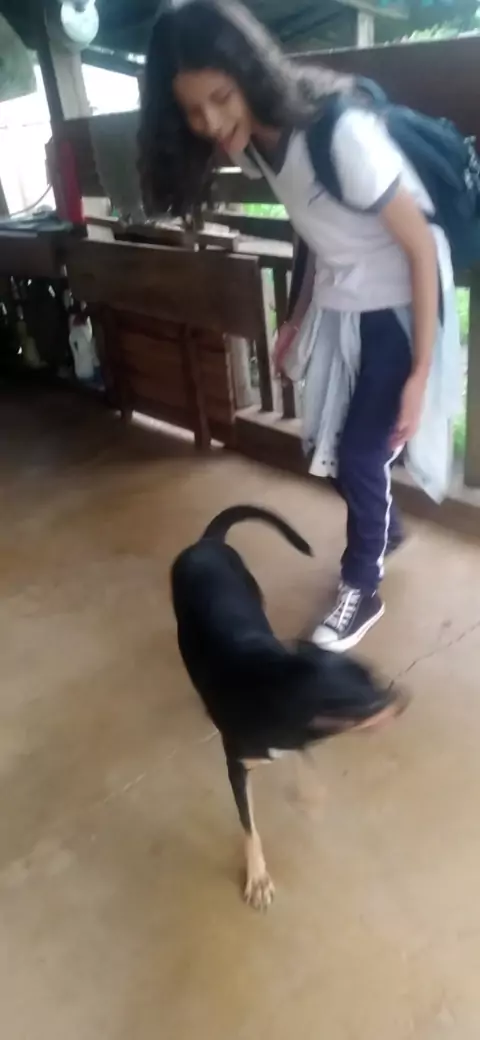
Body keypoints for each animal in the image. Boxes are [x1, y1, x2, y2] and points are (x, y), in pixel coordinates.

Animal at [171, 505, 407, 910]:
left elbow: (305, 762)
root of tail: (207, 543)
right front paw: (258, 877)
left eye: (377, 676)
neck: (280, 683)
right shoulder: (237, 766)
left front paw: (310, 796)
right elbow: (250, 828)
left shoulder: (299, 736)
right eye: (371, 703)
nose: (404, 699)